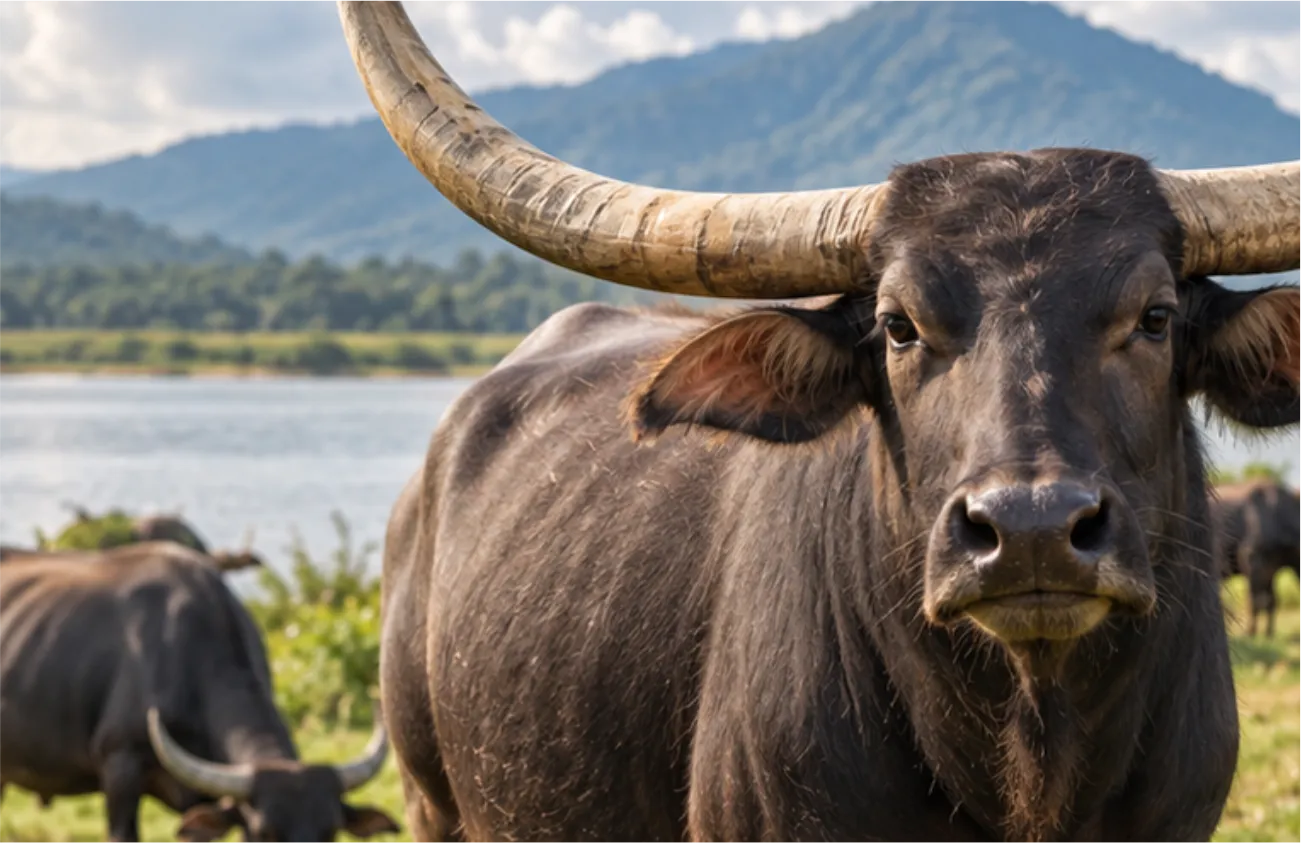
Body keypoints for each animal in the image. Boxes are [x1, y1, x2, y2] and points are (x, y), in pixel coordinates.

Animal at [1212, 479, 1301, 637]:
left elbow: (1272, 600)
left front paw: (1269, 633)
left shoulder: (1271, 570)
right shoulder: (1252, 562)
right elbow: (1255, 601)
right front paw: (1250, 632)